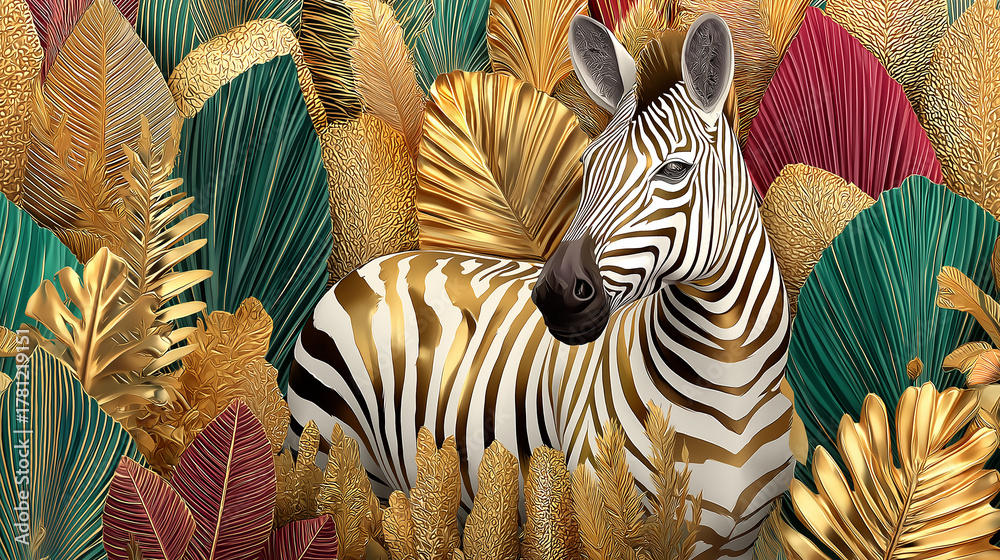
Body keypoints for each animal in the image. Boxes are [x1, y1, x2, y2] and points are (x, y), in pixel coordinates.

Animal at [288, 13, 794, 559]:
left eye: (675, 170)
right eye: (587, 166)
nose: (555, 294)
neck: (731, 384)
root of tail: (372, 265)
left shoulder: (737, 540)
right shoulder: (617, 521)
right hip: (333, 460)